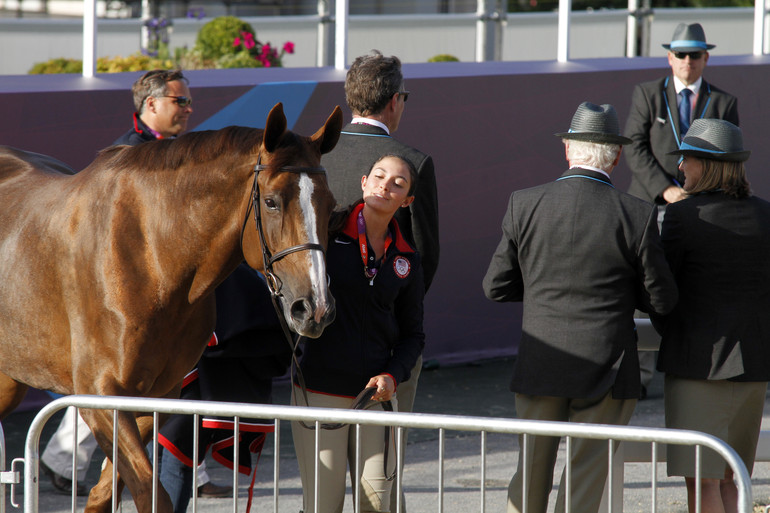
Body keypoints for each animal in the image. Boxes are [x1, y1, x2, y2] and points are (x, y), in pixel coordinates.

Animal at [0, 103, 340, 512]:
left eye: (331, 206)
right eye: (272, 201)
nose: (315, 307)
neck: (151, 254)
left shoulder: (159, 394)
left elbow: (107, 492)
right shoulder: (99, 394)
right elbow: (151, 492)